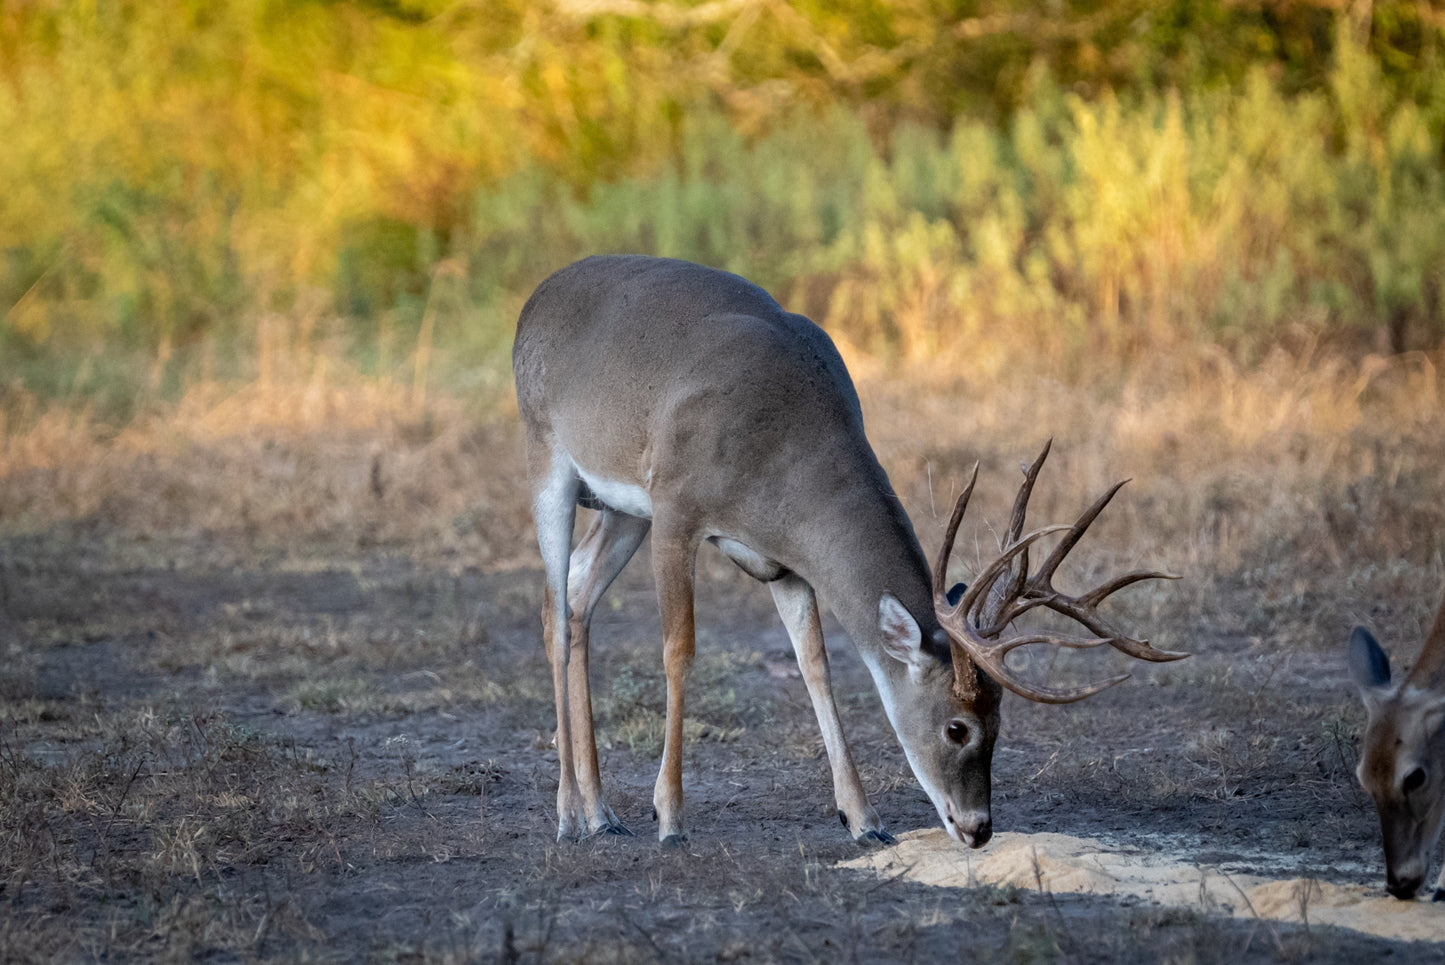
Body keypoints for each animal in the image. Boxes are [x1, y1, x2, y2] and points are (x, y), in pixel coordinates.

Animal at [514, 254, 1179, 843]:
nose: (978, 829)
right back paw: (569, 816)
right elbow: (680, 651)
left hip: (624, 511)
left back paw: (602, 813)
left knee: (576, 595)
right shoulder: (678, 507)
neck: (780, 442)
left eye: (1000, 723)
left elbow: (816, 663)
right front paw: (671, 818)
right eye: (958, 728)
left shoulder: (782, 561)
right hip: (548, 455)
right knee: (552, 610)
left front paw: (863, 820)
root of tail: (536, 296)